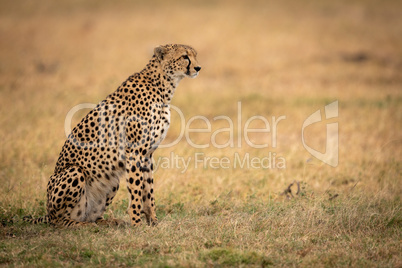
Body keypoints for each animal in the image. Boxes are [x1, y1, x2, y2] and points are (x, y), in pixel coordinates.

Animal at [24, 44, 201, 226]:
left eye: (195, 55)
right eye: (185, 56)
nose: (198, 68)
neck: (162, 86)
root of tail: (47, 212)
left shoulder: (147, 154)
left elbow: (148, 191)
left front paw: (153, 222)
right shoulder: (134, 152)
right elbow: (136, 191)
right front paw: (137, 224)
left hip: (111, 181)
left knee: (91, 215)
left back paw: (107, 222)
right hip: (74, 172)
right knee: (59, 220)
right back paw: (82, 225)